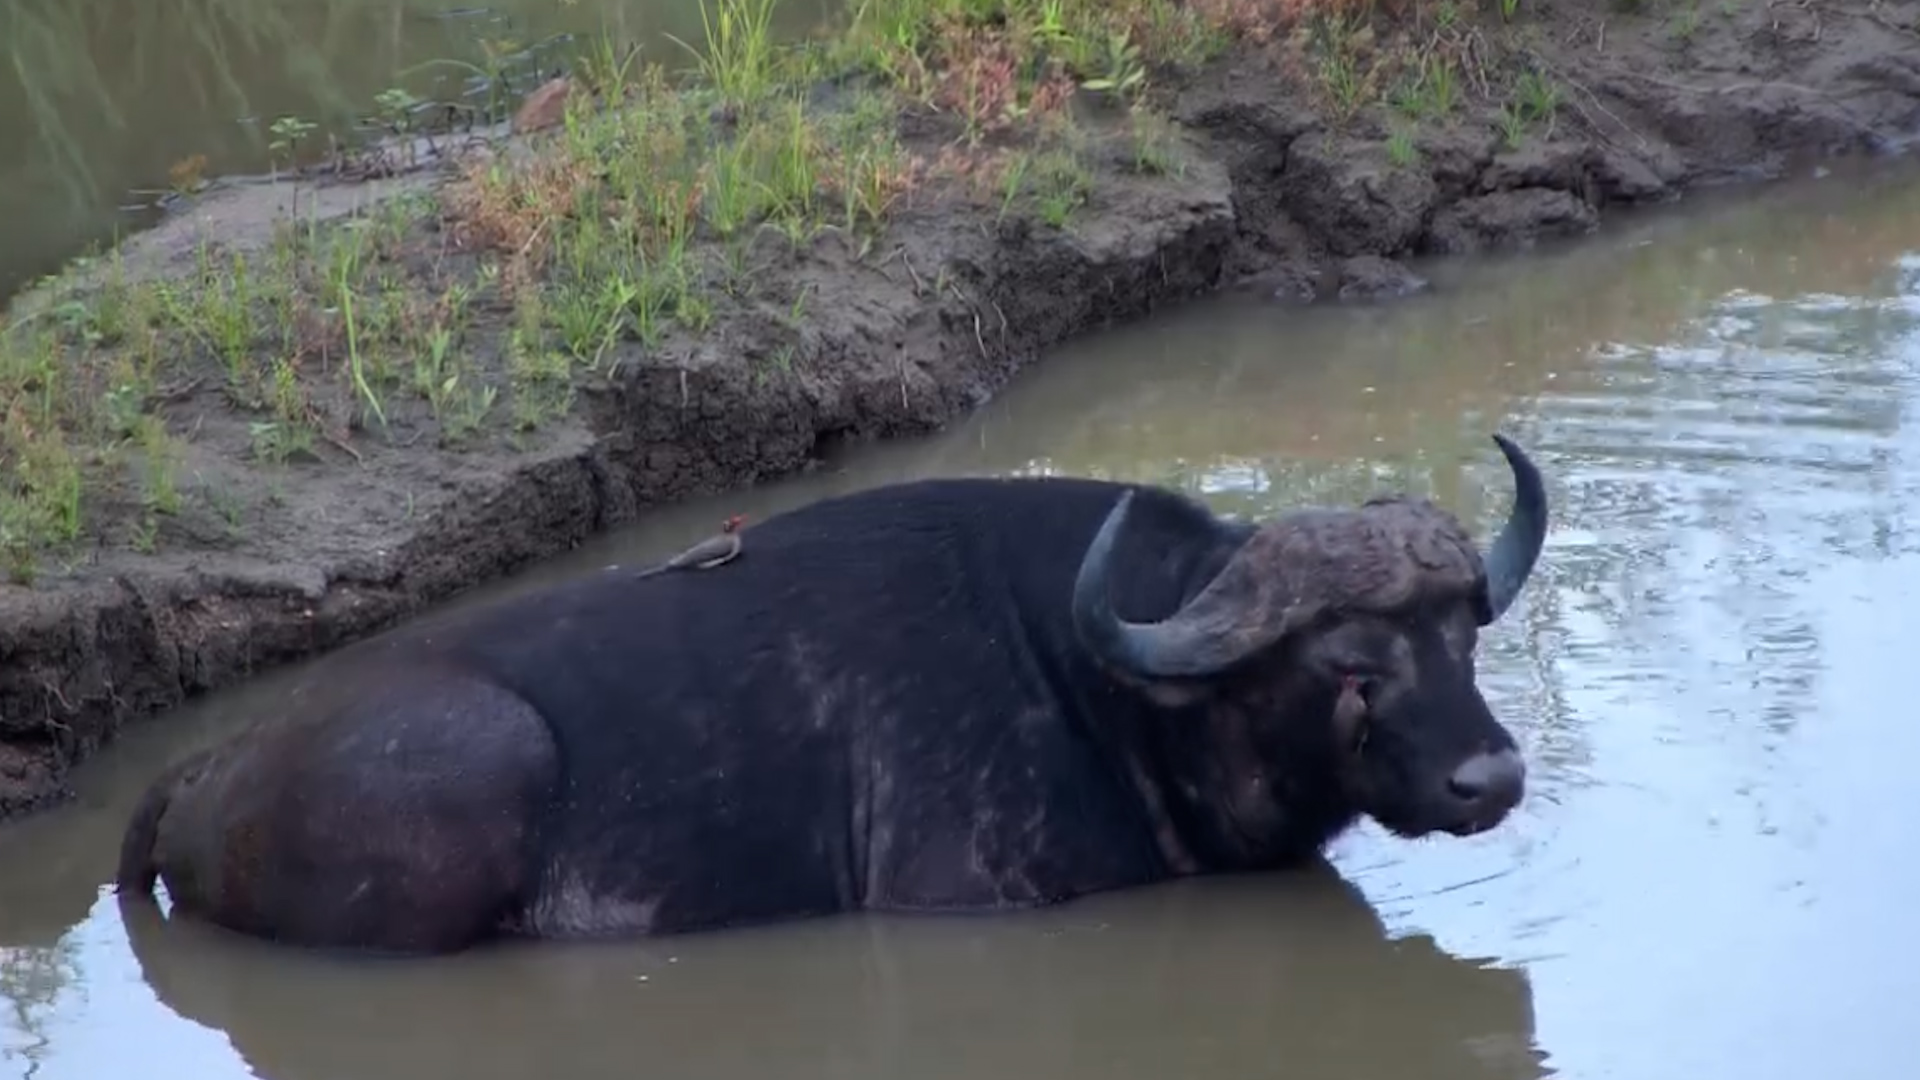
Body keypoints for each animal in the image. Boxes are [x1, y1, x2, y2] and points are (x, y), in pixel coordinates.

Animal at [116, 434, 1550, 956]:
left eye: (1462, 638)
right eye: (1349, 665)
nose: (1491, 777)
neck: (1115, 696)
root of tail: (206, 772)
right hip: (481, 766)